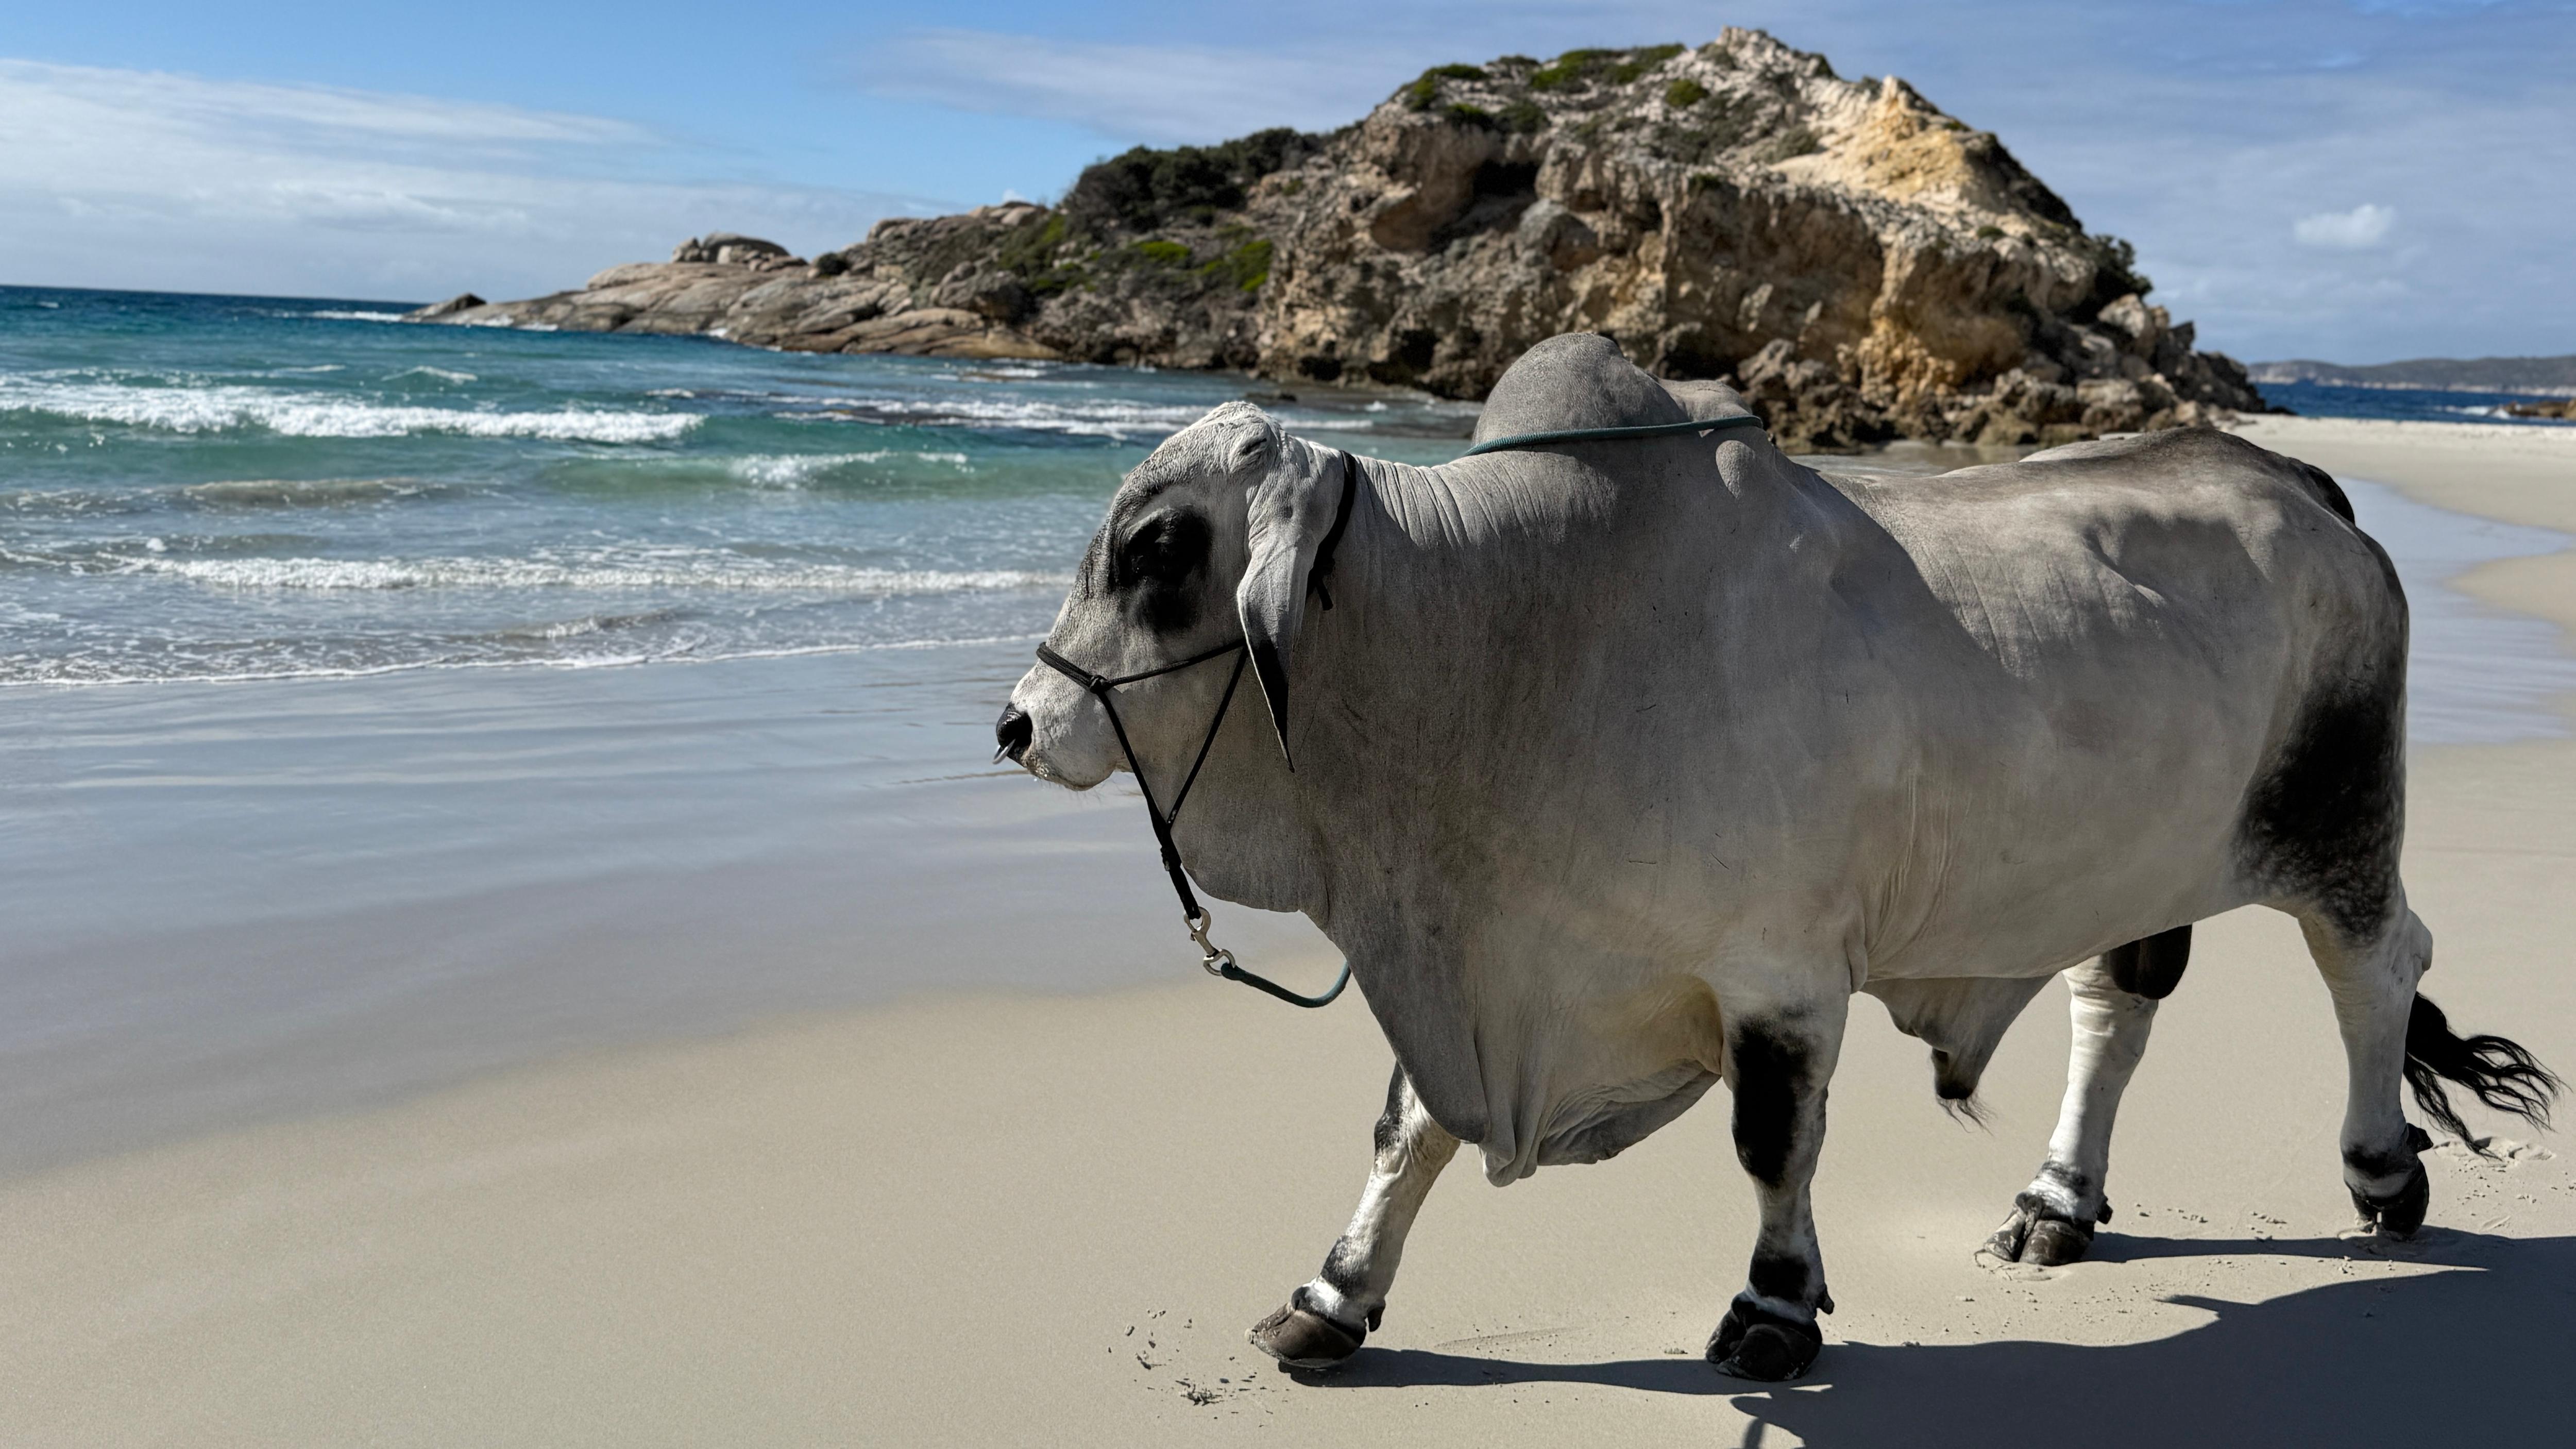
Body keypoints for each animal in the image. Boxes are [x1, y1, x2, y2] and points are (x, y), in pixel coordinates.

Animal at [994, 333, 2557, 1381]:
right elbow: (1408, 1126)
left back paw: (2381, 1175)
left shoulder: (1781, 976)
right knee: (2117, 1005)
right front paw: (1332, 1298)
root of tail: (2292, 474)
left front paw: (1772, 1308)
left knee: (2375, 969)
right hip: (2142, 860)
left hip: (2340, 819)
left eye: (1156, 546)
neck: (1508, 639)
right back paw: (2057, 1203)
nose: (1017, 722)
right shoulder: (1476, 968)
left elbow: (1770, 1143)